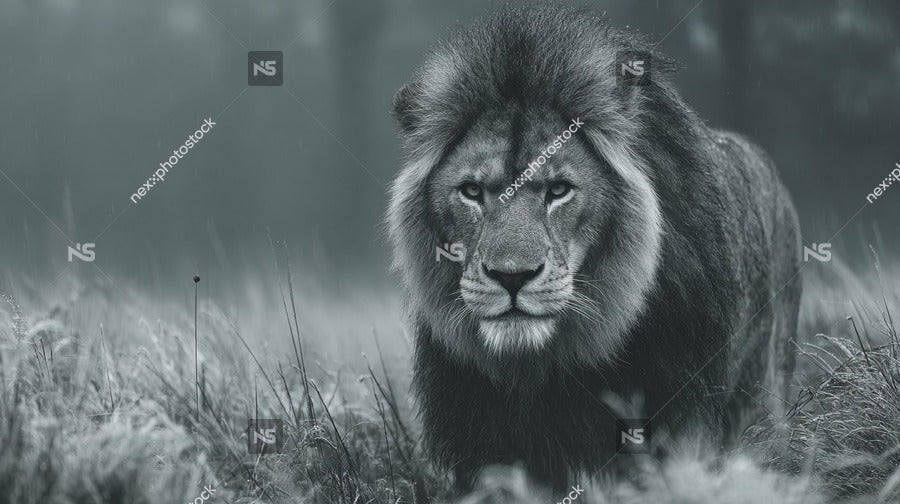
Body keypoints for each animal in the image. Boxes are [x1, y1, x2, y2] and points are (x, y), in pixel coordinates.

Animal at [387, 7, 802, 492]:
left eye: (559, 190)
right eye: (471, 191)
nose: (511, 277)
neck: (546, 367)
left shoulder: (678, 417)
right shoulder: (485, 442)